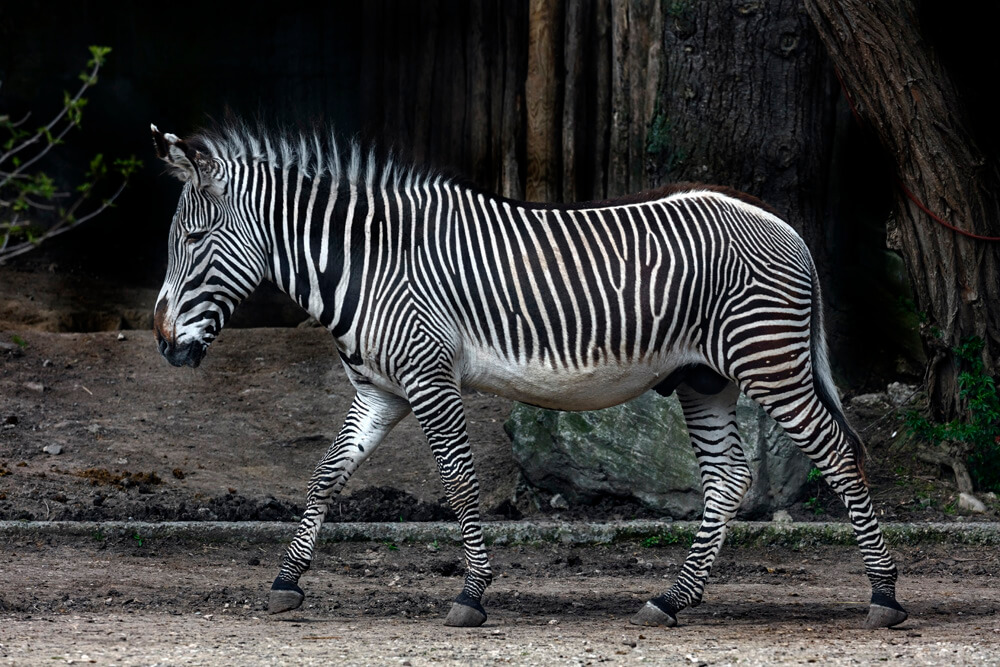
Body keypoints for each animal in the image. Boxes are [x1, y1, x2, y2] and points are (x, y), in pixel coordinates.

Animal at [150, 122, 907, 630]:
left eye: (194, 239)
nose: (161, 343)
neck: (367, 263)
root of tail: (782, 224)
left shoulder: (429, 379)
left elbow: (458, 481)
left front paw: (472, 592)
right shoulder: (380, 390)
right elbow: (325, 476)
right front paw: (286, 581)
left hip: (770, 361)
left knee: (841, 455)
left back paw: (885, 595)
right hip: (704, 379)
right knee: (728, 478)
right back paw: (671, 599)